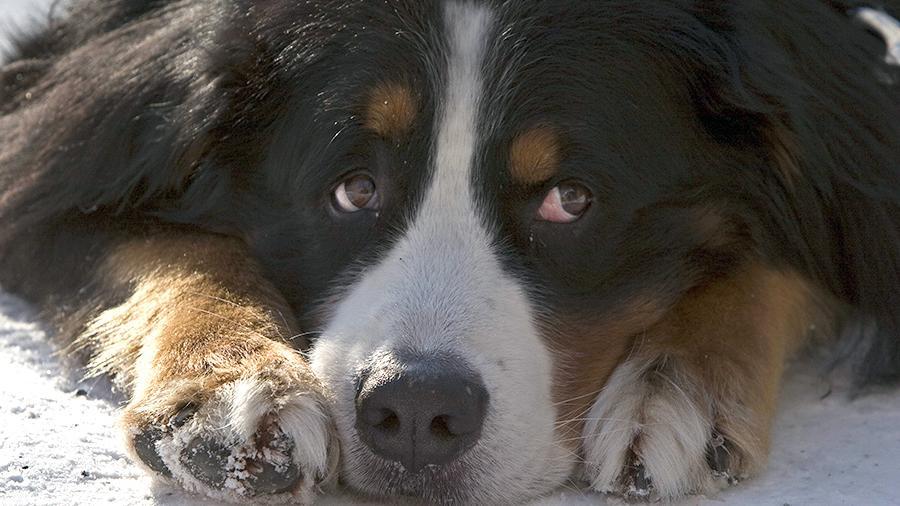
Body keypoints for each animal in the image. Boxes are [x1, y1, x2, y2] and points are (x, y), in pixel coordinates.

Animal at [0, 0, 896, 504]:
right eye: (353, 187)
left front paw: (676, 388)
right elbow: (168, 242)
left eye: (570, 199)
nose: (416, 412)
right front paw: (227, 383)